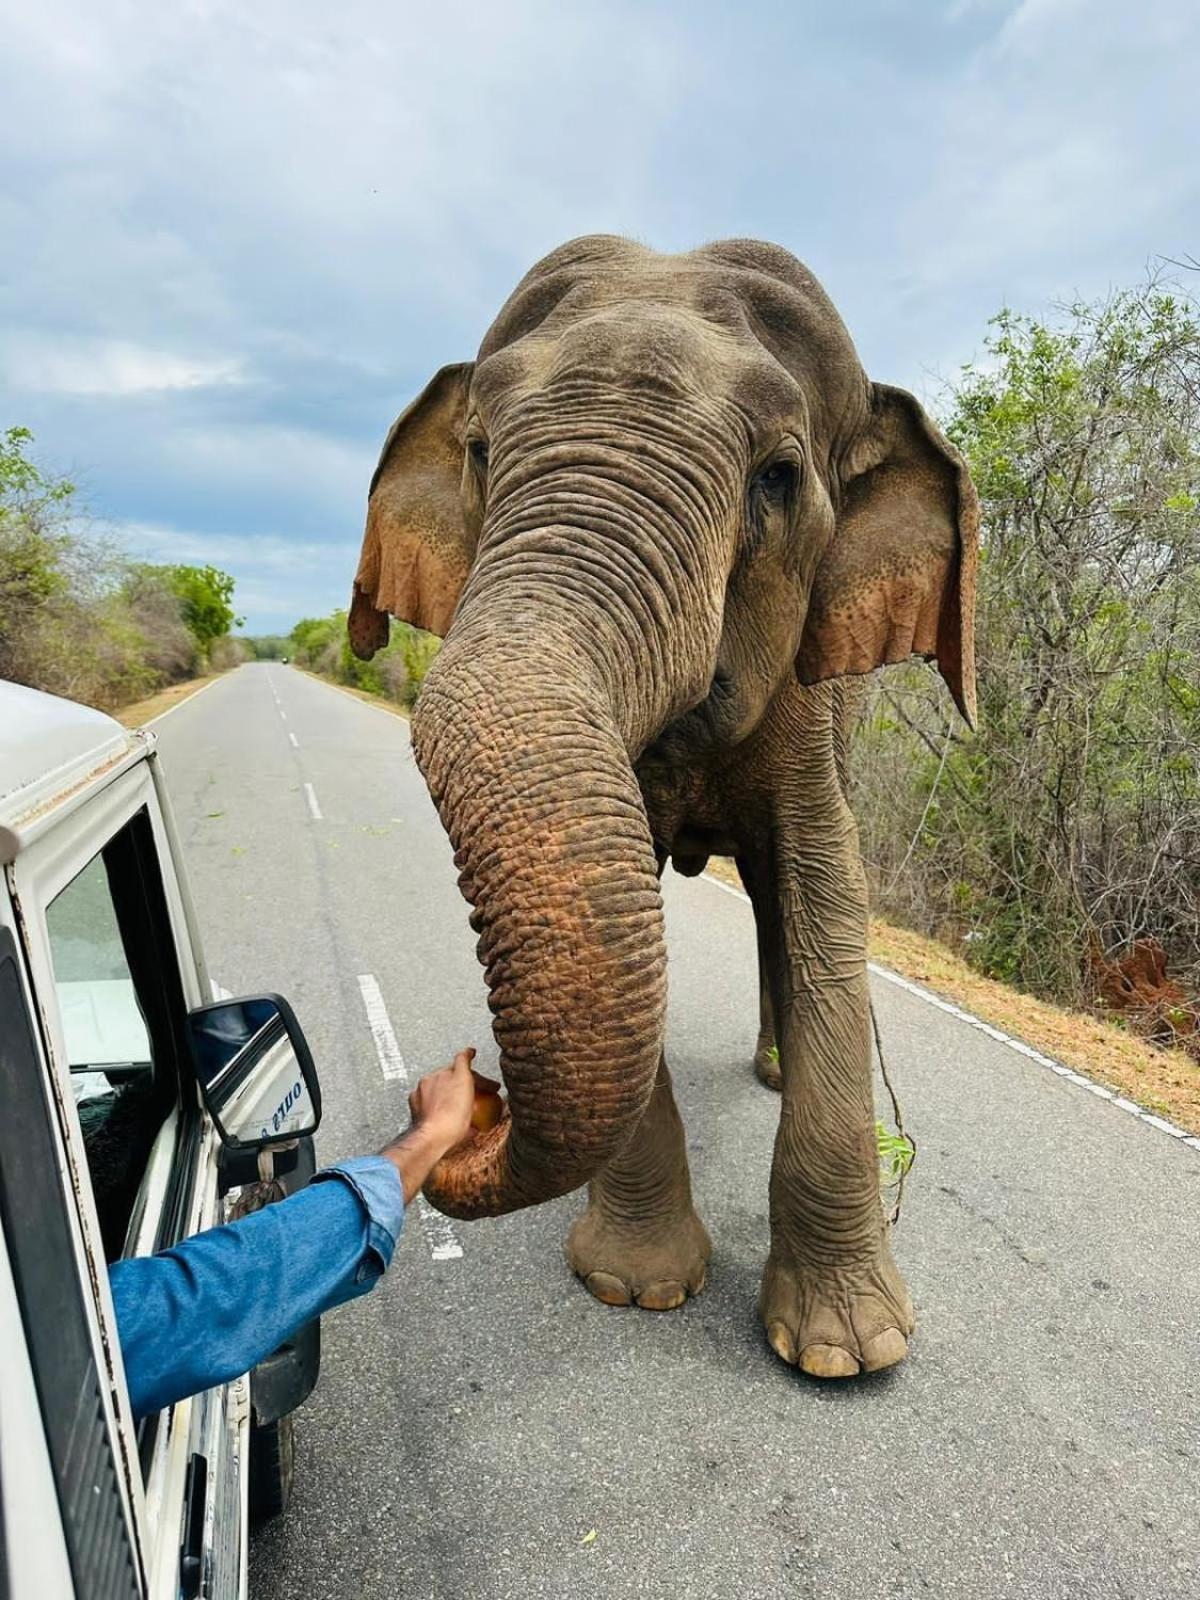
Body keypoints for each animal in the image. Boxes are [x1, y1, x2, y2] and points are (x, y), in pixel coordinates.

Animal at [347, 233, 979, 1376]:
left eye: (778, 476)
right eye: (479, 453)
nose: (466, 1098)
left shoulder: (813, 704)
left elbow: (827, 893)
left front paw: (847, 1353)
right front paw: (634, 1290)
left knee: (779, 905)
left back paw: (772, 1073)